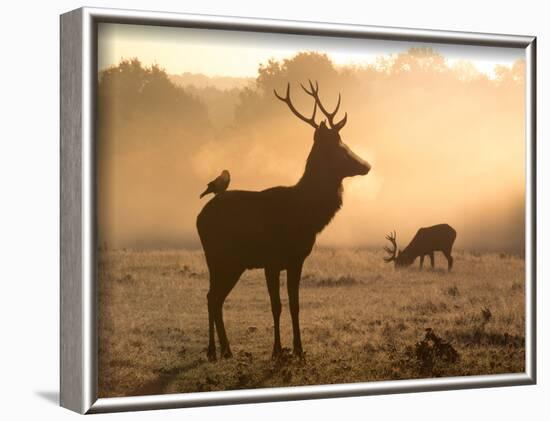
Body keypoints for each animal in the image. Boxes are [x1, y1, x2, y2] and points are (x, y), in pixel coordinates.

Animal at [196, 80, 374, 360]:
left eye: (343, 142)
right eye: (338, 148)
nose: (366, 165)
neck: (304, 214)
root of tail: (199, 217)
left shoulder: (296, 260)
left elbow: (295, 304)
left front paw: (299, 350)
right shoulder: (271, 260)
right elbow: (276, 305)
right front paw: (277, 350)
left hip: (233, 263)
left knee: (215, 297)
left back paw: (226, 349)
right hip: (217, 257)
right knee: (211, 296)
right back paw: (215, 350)